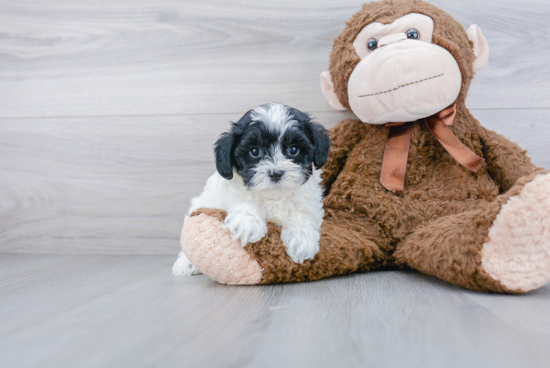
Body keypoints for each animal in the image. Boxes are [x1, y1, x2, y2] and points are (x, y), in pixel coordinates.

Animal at [172, 102, 332, 274]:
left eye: (293, 150)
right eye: (255, 151)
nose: (275, 173)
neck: (274, 196)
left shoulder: (309, 201)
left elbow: (302, 214)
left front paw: (302, 240)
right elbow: (244, 200)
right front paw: (248, 223)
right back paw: (185, 264)